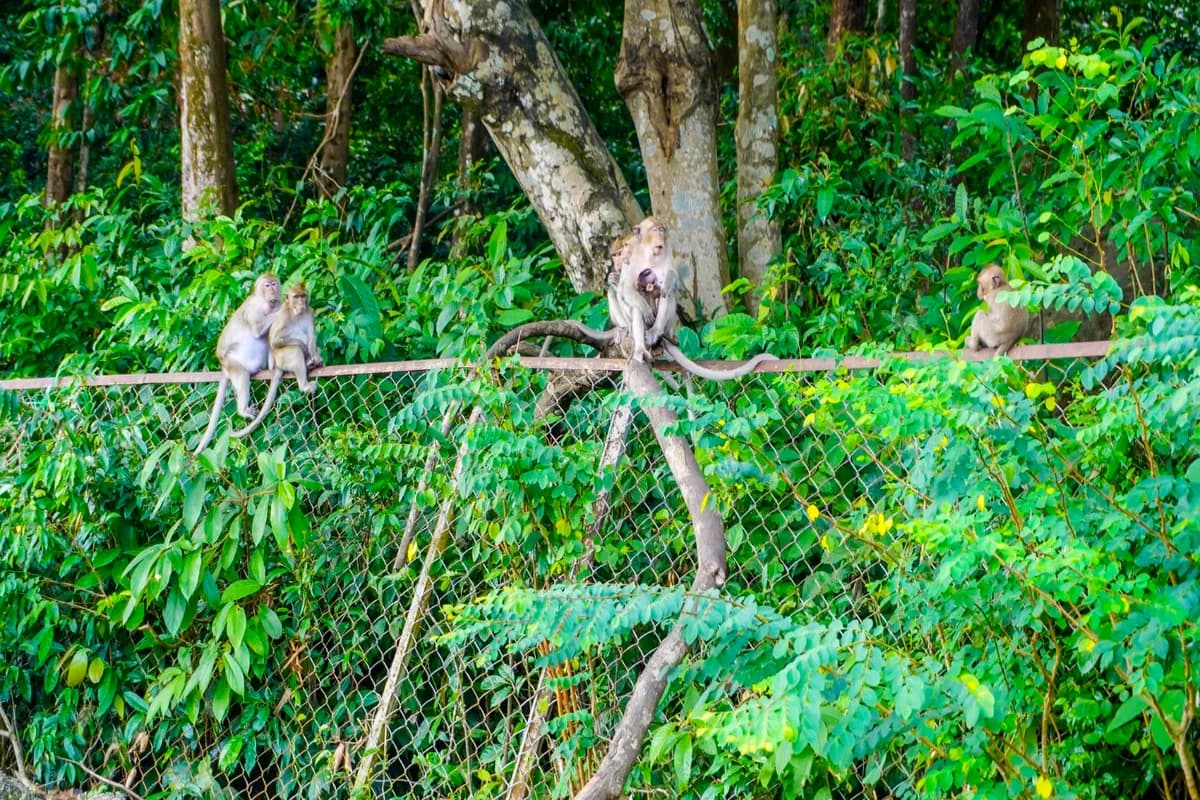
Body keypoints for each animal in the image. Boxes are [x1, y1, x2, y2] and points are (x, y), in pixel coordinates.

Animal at [193, 273, 281, 454]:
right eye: (267, 285)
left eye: (274, 284)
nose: (273, 291)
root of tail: (224, 367)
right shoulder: (253, 308)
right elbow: (257, 329)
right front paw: (284, 308)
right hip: (233, 363)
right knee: (242, 375)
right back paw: (242, 410)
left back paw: (271, 368)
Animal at [231, 282, 323, 439]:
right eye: (296, 297)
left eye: (303, 296)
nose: (301, 303)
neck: (296, 313)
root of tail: (278, 365)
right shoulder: (284, 315)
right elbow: (275, 340)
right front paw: (304, 348)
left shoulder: (309, 312)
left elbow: (312, 337)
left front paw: (314, 357)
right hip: (282, 359)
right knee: (294, 351)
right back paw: (304, 384)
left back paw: (311, 362)